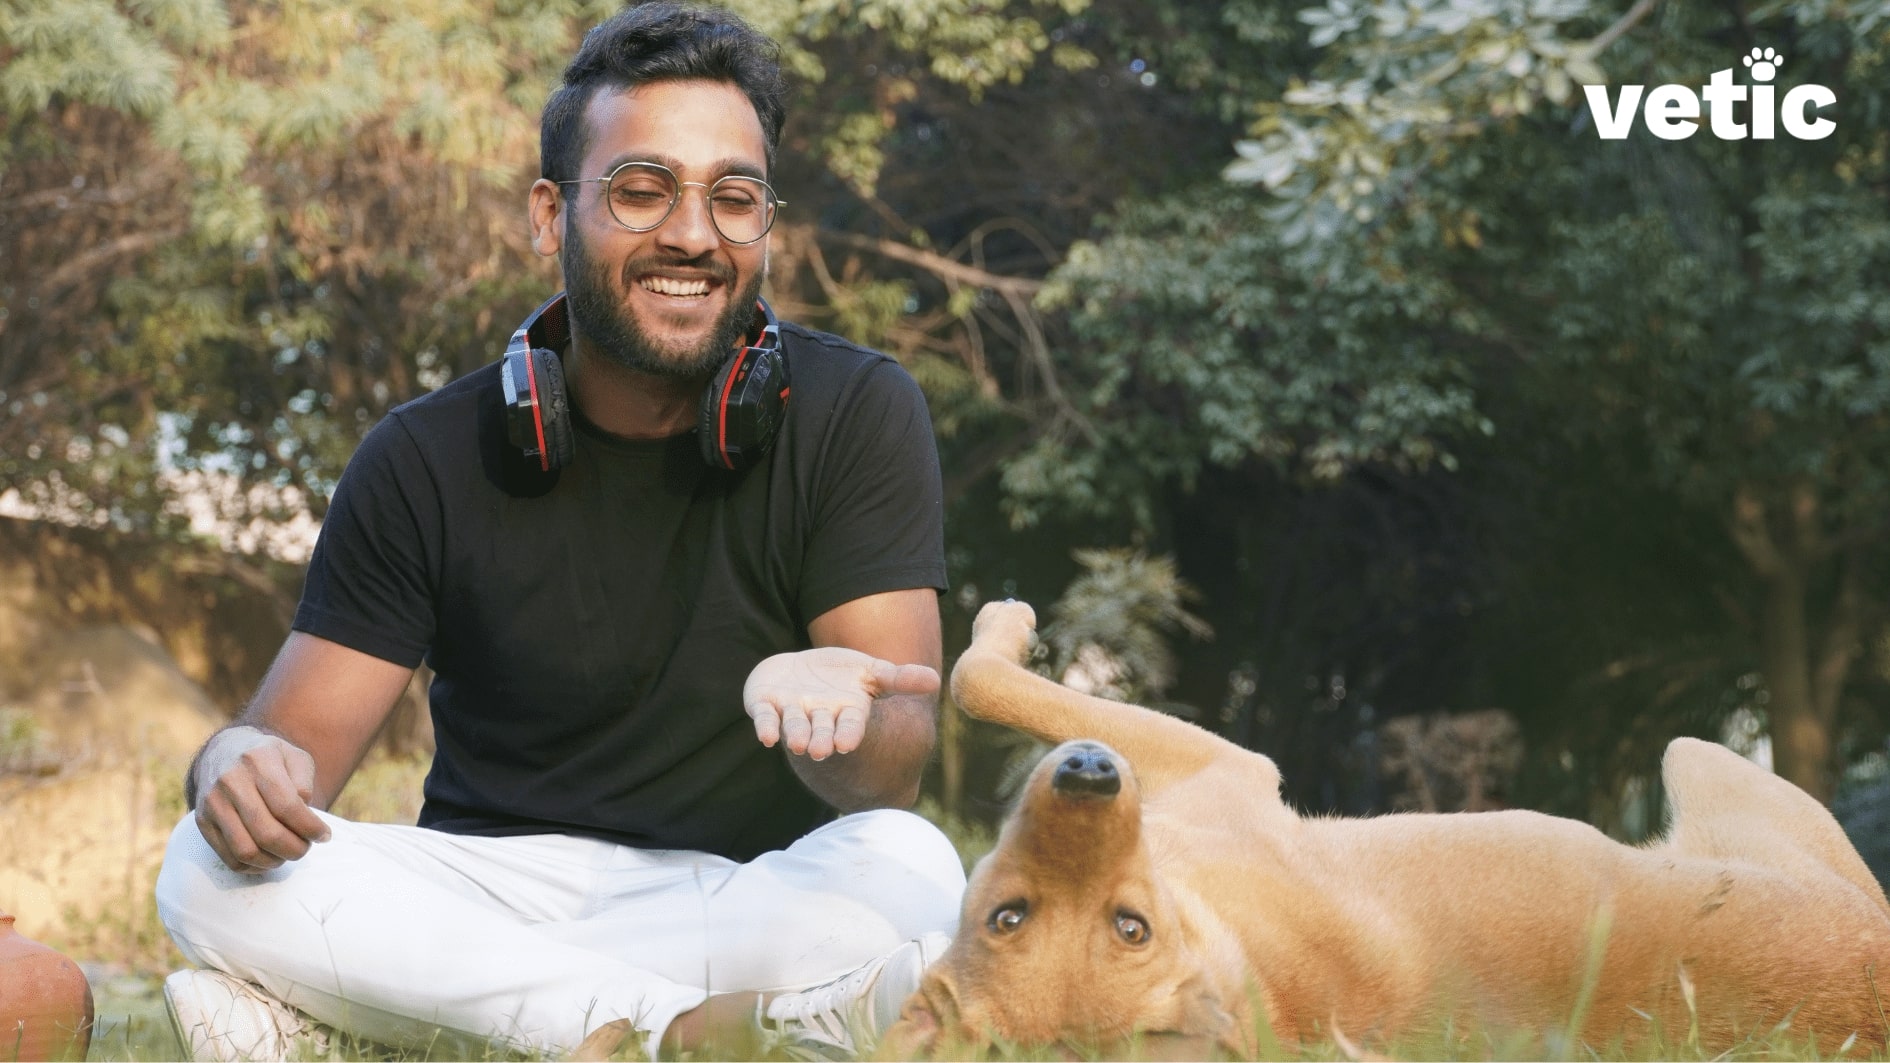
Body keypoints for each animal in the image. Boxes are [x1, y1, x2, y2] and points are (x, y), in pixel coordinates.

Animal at [884, 601, 1890, 1051]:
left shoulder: (1222, 770)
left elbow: (975, 674)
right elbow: (975, 674)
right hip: (1705, 760)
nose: (1089, 774)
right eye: (1011, 916)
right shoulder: (1224, 772)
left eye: (1126, 927)